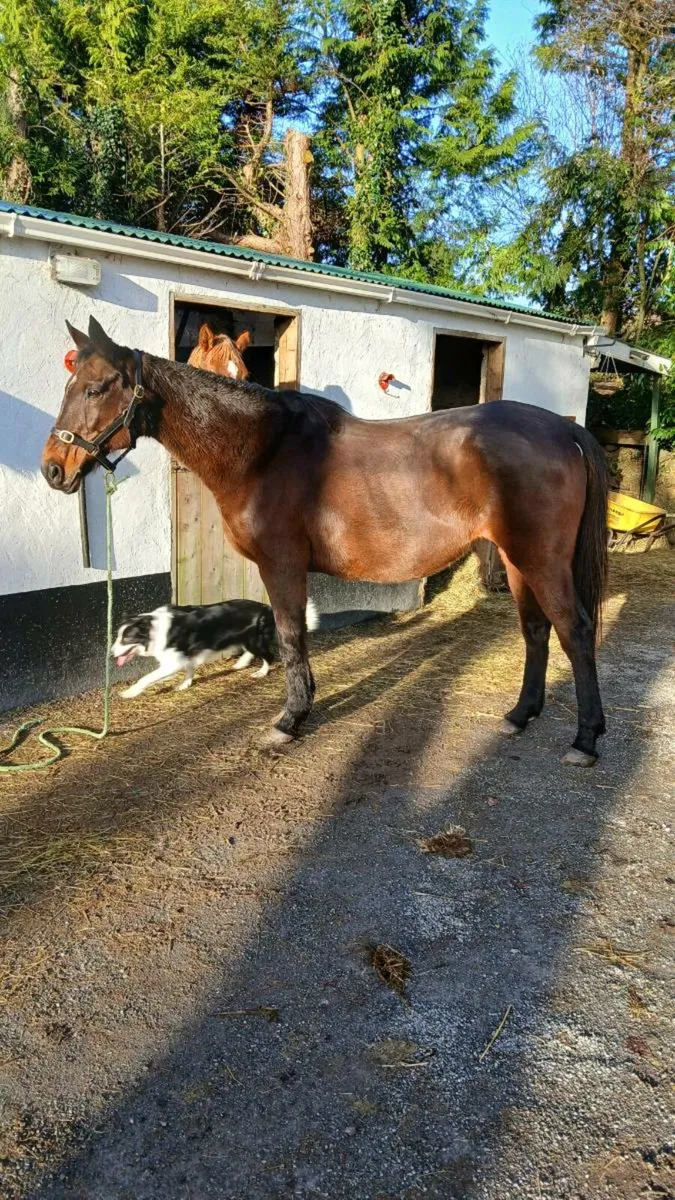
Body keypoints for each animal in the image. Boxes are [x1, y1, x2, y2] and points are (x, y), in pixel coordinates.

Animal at [42, 317, 609, 766]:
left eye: (97, 388)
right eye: (69, 383)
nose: (53, 468)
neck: (263, 451)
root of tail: (564, 429)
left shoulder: (282, 564)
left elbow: (292, 637)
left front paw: (290, 719)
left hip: (541, 560)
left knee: (575, 631)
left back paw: (585, 740)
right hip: (517, 560)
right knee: (535, 630)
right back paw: (519, 715)